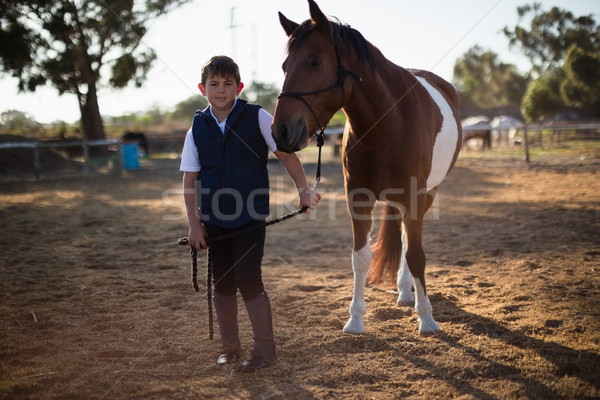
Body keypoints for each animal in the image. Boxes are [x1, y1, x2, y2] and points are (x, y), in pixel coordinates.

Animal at [274, 0, 464, 336]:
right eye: (285, 67)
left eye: (314, 62)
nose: (280, 131)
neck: (389, 122)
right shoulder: (358, 198)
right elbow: (360, 258)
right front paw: (355, 319)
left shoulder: (413, 196)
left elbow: (417, 255)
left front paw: (427, 319)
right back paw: (404, 291)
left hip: (427, 193)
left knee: (408, 240)